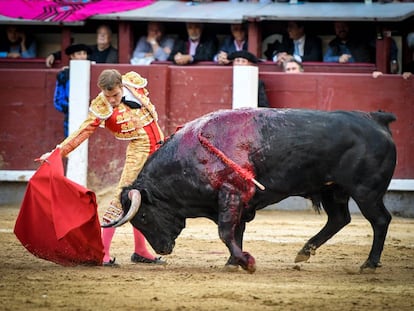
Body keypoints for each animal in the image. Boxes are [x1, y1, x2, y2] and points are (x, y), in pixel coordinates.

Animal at [110, 108, 398, 274]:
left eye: (143, 216)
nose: (163, 249)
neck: (192, 154)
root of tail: (377, 120)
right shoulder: (237, 201)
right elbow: (237, 231)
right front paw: (233, 262)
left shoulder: (232, 194)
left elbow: (226, 231)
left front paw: (246, 262)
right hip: (333, 190)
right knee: (339, 218)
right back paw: (305, 251)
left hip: (366, 192)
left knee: (380, 220)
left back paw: (369, 264)